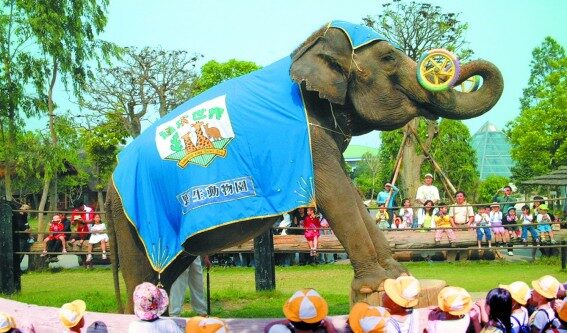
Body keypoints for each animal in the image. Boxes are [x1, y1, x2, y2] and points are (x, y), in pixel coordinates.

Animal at [105, 22, 502, 312]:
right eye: (389, 57)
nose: (443, 66)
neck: (307, 48)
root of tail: (110, 184)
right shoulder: (309, 138)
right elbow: (336, 194)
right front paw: (375, 284)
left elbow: (350, 193)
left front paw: (398, 277)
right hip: (137, 223)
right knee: (144, 278)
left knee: (163, 277)